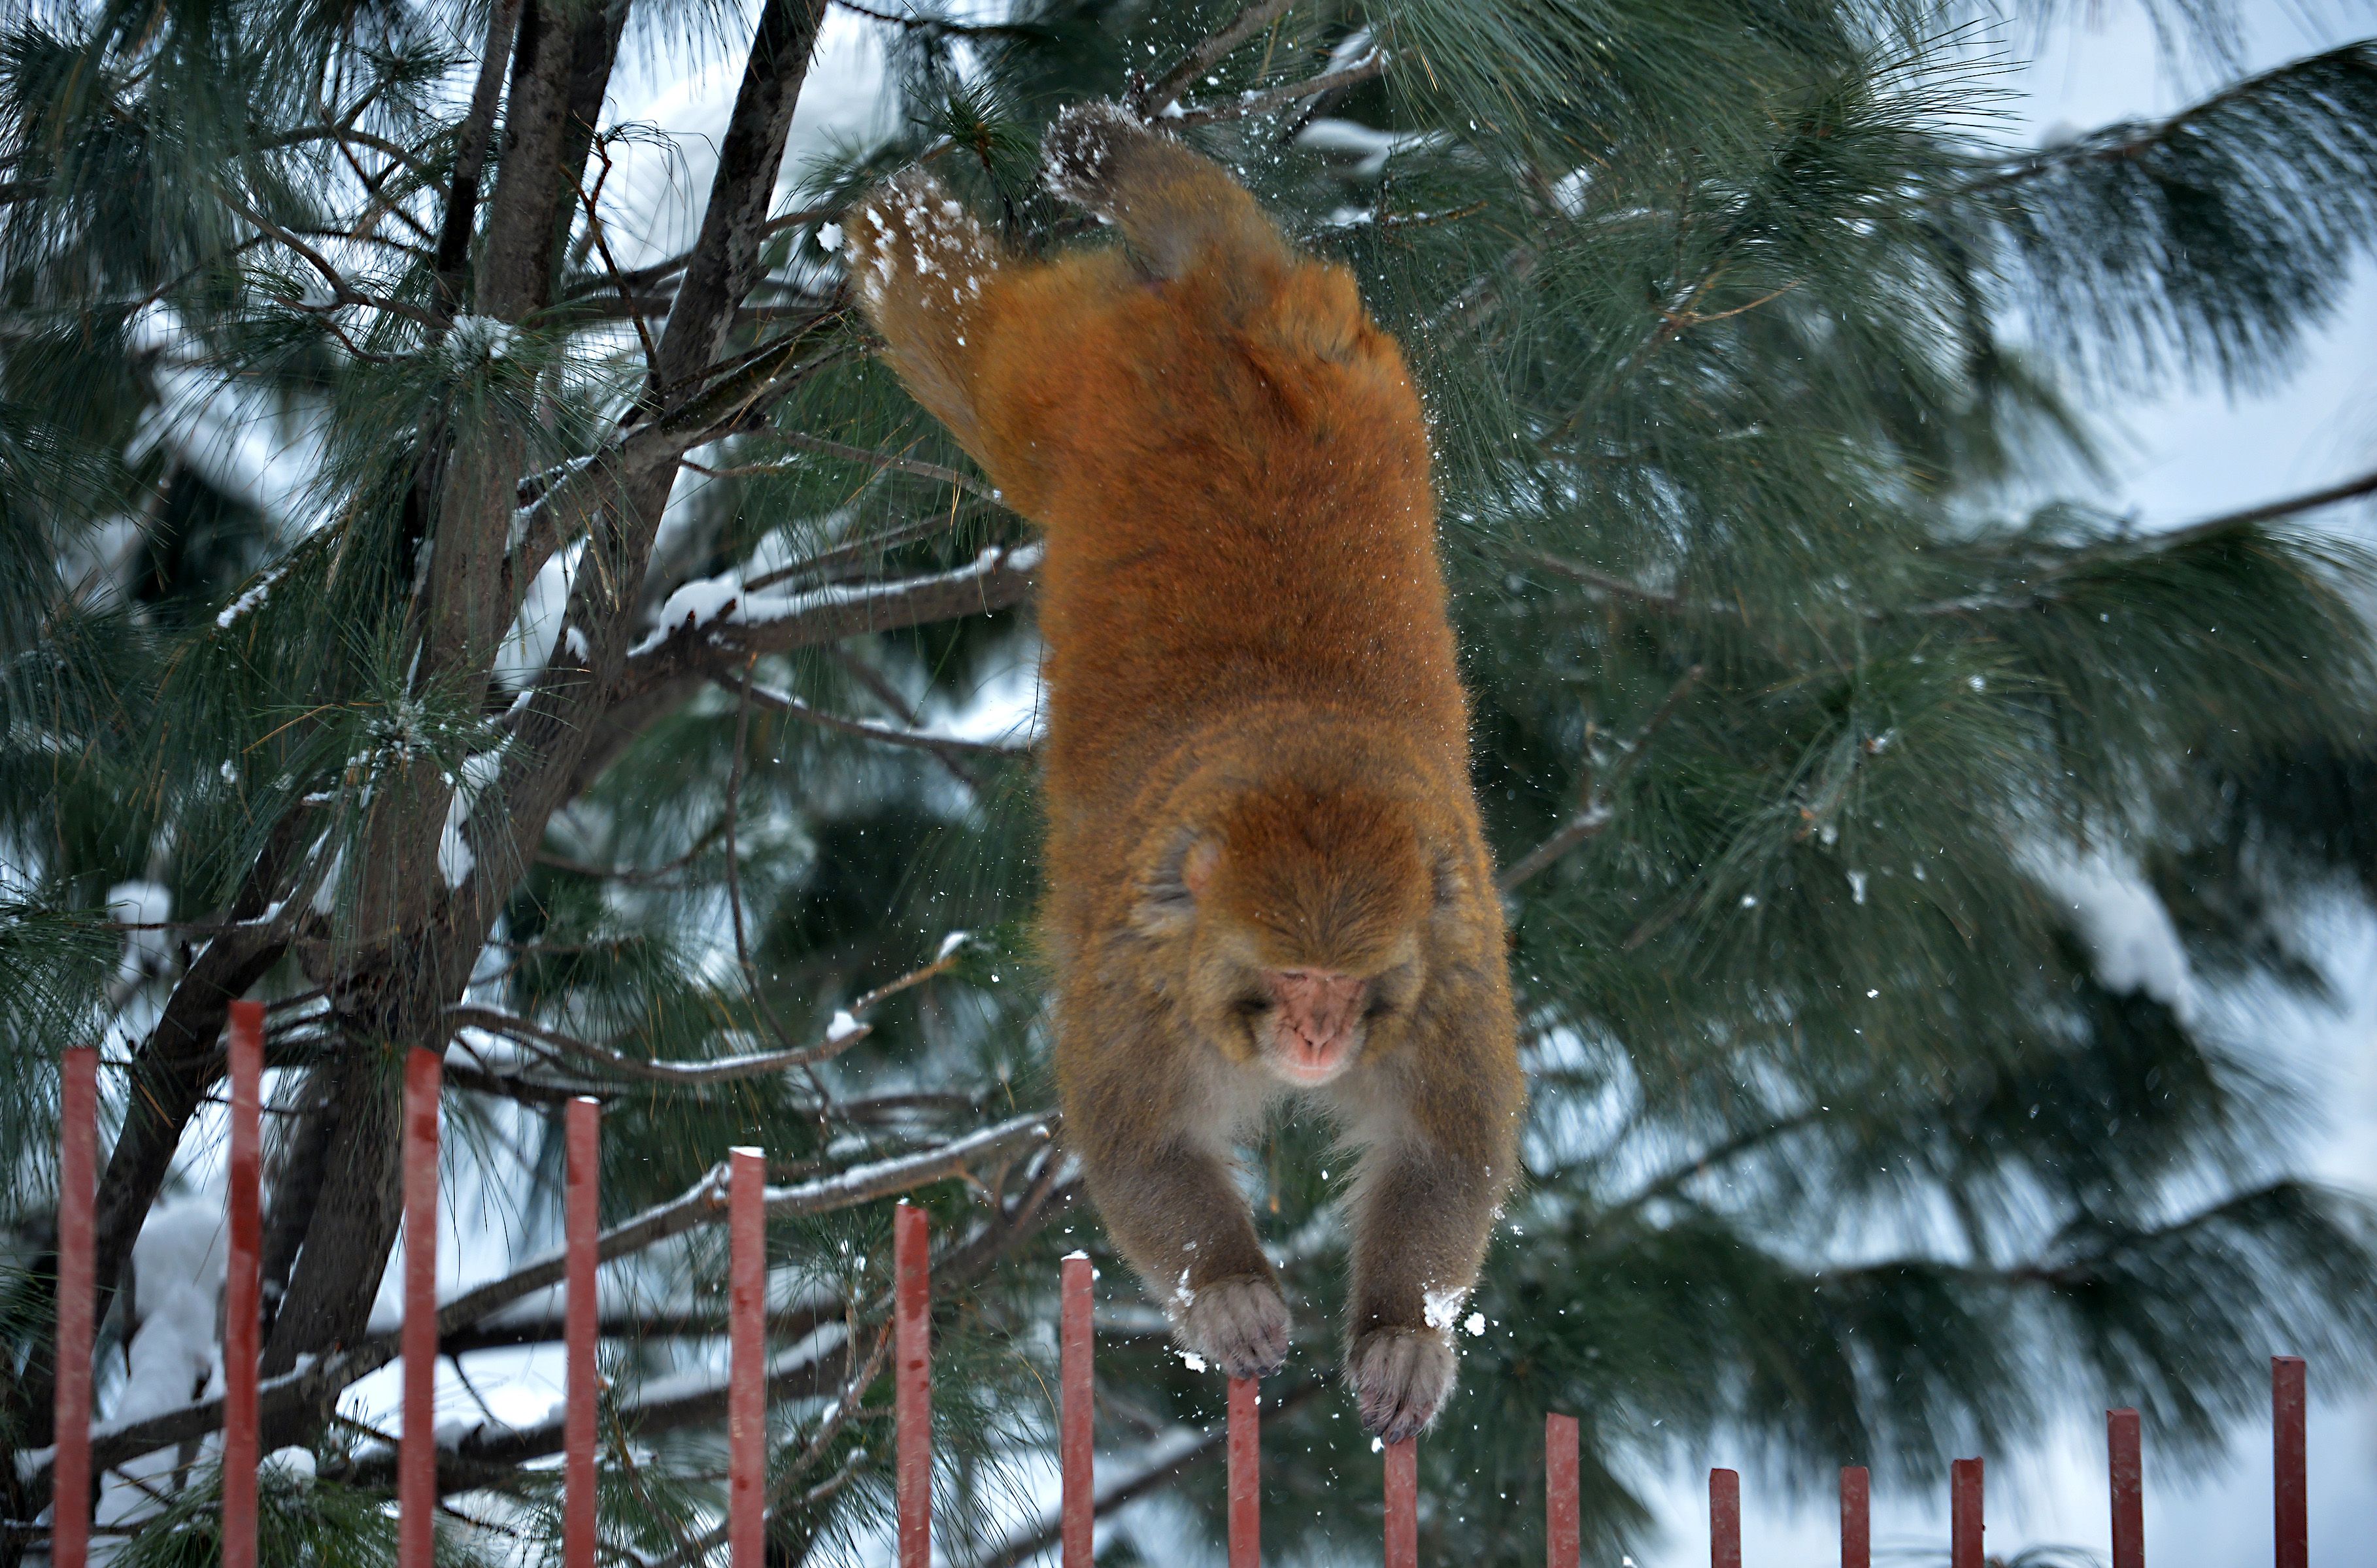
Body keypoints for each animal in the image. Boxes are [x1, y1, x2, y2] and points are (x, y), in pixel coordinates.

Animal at [851, 101, 1521, 1444]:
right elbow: (1141, 1138)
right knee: (997, 372)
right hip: (1080, 389)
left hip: (1341, 366)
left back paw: (1145, 187)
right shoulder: (1143, 966)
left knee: (1232, 266)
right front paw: (1229, 1291)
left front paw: (1402, 1334)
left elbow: (1443, 1152)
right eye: (1291, 977)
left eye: (1347, 983)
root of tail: (1212, 334)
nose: (1317, 1036)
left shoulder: (1451, 962)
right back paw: (907, 231)